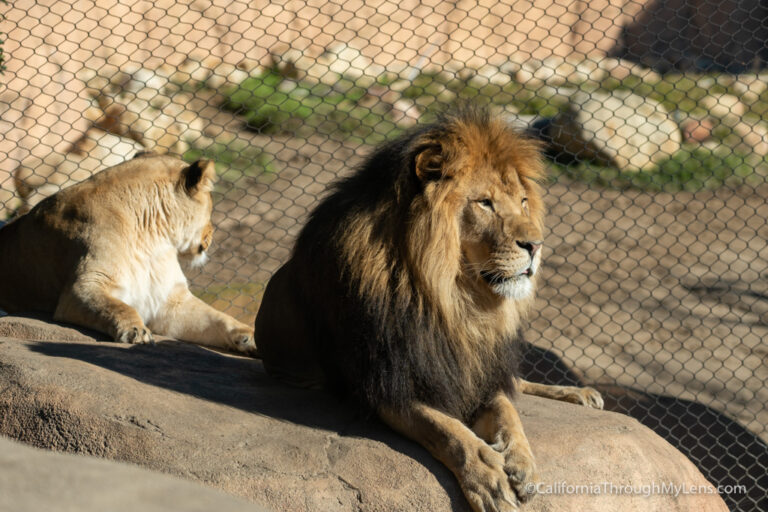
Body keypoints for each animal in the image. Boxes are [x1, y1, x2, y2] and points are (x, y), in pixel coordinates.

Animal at [0, 153, 258, 356]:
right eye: (211, 208)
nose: (213, 233)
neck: (152, 238)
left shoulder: (170, 302)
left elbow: (218, 318)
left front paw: (250, 337)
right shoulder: (81, 289)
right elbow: (116, 306)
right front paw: (135, 331)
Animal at [258, 106, 608, 510]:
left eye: (522, 202)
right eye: (484, 203)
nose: (536, 245)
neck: (452, 299)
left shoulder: (475, 369)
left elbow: (508, 411)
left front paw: (522, 461)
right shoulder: (385, 386)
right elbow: (448, 430)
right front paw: (488, 475)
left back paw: (580, 394)